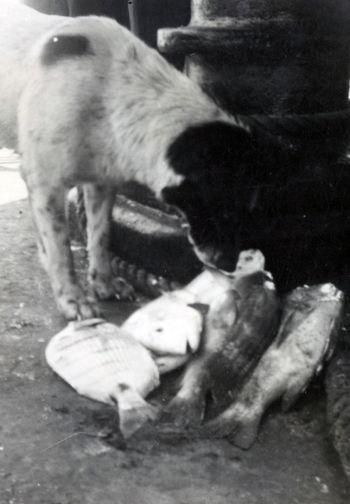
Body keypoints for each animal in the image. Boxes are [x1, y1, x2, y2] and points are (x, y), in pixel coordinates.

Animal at [0, 0, 280, 318]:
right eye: (225, 210)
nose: (229, 265)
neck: (108, 92)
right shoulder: (45, 185)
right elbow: (61, 250)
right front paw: (73, 298)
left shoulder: (101, 183)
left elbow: (100, 236)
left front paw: (105, 283)